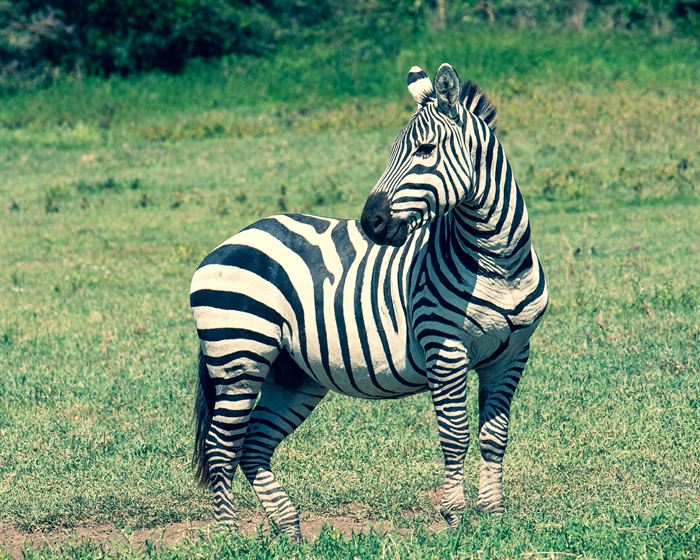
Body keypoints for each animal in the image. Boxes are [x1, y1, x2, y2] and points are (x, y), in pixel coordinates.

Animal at [190, 63, 548, 539]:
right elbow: (455, 435)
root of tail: (233, 240)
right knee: (221, 445)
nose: (370, 222)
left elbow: (495, 436)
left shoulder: (511, 355)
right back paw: (229, 536)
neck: (498, 262)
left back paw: (290, 532)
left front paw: (493, 517)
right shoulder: (445, 350)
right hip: (239, 355)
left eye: (425, 150)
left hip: (293, 373)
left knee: (253, 446)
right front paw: (455, 518)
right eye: (393, 151)